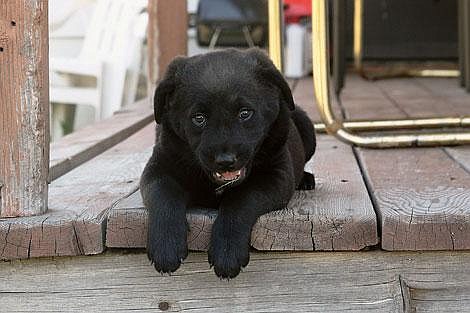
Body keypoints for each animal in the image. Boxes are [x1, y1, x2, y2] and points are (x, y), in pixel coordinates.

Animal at [140, 47, 316, 276]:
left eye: (245, 113)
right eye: (199, 118)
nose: (225, 161)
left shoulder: (276, 176)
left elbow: (241, 198)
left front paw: (227, 251)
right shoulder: (158, 168)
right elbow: (164, 194)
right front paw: (166, 245)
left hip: (306, 125)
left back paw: (306, 179)